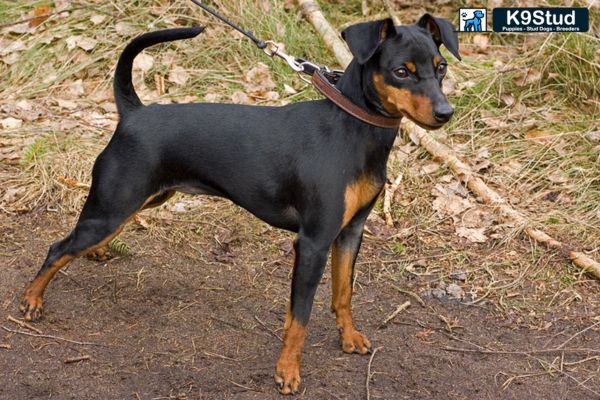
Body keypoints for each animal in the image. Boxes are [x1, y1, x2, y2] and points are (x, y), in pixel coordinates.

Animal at [17, 14, 460, 394]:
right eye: (401, 71)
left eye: (440, 68)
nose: (445, 112)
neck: (352, 128)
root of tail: (134, 114)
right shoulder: (313, 243)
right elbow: (299, 317)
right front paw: (287, 372)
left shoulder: (350, 233)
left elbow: (343, 293)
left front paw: (348, 337)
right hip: (113, 207)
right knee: (57, 248)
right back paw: (32, 300)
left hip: (144, 199)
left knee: (84, 240)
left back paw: (95, 255)